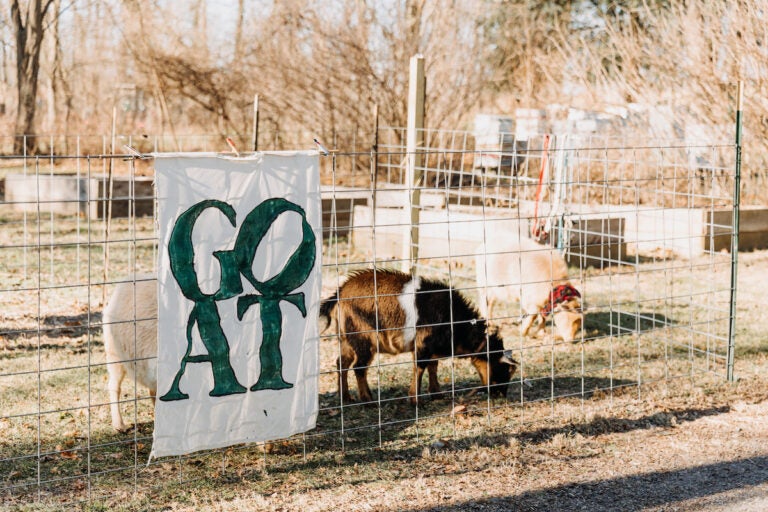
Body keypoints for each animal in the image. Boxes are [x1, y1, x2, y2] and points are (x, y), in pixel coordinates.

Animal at [318, 270, 516, 406]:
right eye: (503, 368)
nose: (501, 394)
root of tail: (340, 293)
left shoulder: (431, 347)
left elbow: (433, 366)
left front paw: (436, 393)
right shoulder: (423, 343)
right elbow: (420, 367)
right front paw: (415, 400)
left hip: (346, 339)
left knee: (341, 363)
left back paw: (346, 397)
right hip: (362, 338)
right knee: (359, 367)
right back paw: (368, 401)